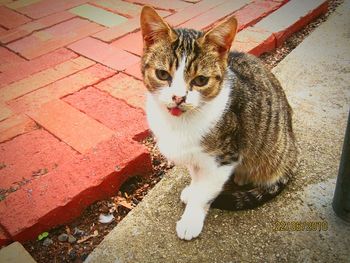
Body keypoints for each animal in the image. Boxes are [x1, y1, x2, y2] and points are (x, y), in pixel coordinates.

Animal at [139, 6, 298, 241]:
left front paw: (191, 218)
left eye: (200, 80)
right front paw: (193, 190)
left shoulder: (223, 157)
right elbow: (197, 178)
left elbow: (205, 190)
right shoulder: (195, 156)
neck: (180, 123)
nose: (178, 98)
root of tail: (294, 153)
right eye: (162, 74)